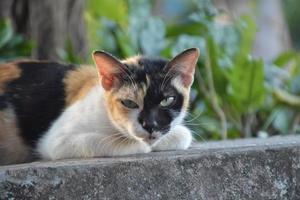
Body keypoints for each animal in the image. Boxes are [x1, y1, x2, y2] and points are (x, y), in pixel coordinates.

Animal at [0, 47, 202, 165]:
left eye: (167, 100)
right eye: (129, 103)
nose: (150, 125)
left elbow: (183, 134)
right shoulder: (56, 142)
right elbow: (115, 142)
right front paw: (140, 145)